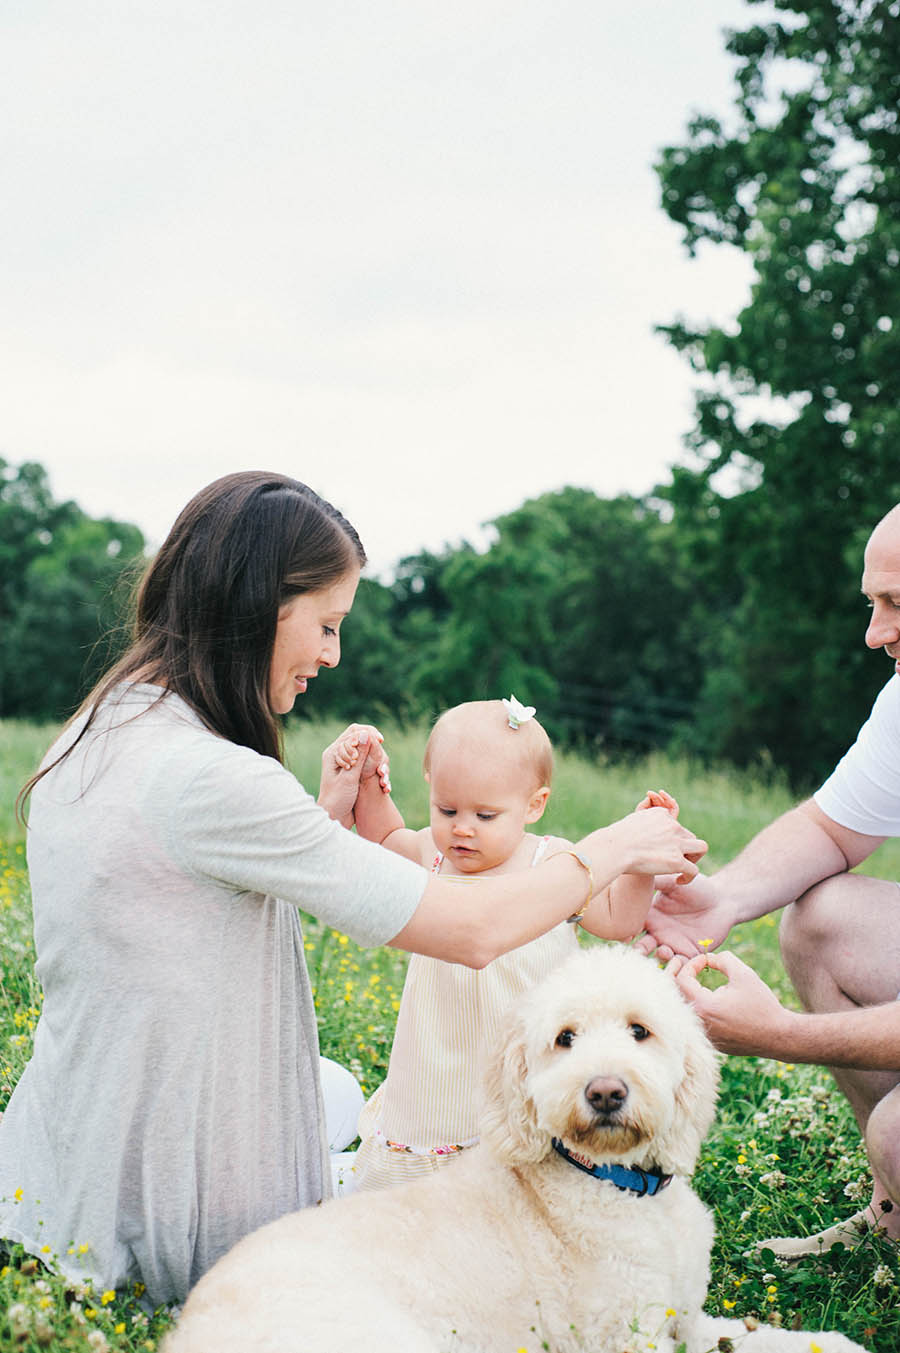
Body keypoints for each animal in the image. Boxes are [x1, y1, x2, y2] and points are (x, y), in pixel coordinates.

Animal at [161, 947, 866, 1353]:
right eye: (565, 1038)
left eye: (640, 1030)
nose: (605, 1091)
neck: (622, 1188)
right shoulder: (627, 1339)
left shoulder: (687, 1320)